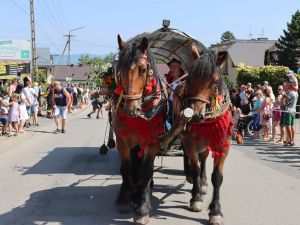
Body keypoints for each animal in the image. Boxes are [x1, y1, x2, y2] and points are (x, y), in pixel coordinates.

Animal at [112, 34, 166, 224]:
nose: (130, 109)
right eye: (120, 70)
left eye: (143, 70)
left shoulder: (153, 142)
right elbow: (126, 168)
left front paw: (142, 207)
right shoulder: (122, 140)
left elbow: (147, 170)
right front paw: (123, 199)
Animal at [162, 45, 230, 225]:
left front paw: (215, 211)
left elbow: (217, 177)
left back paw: (203, 182)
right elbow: (195, 167)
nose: (194, 115)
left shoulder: (222, 143)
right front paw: (196, 198)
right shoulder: (189, 141)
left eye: (214, 80)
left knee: (204, 158)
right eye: (190, 78)